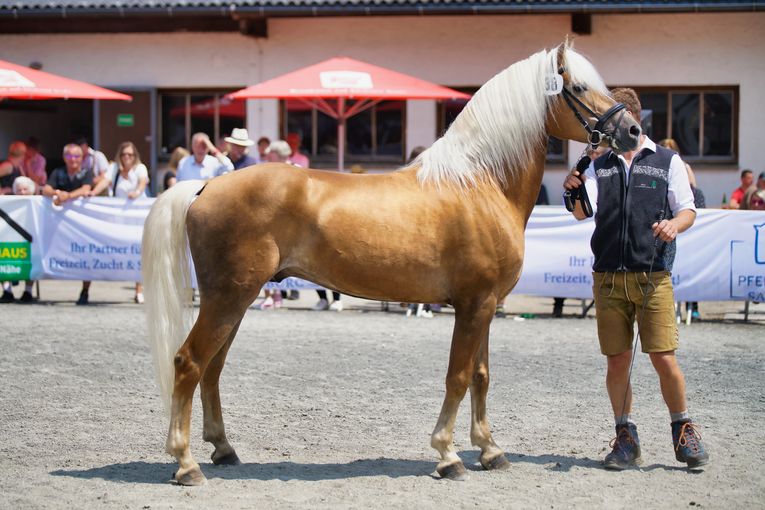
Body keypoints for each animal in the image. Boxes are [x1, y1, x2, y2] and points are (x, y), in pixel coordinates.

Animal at [142, 40, 640, 486]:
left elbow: (480, 376)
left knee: (212, 368)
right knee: (189, 362)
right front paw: (447, 455)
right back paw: (185, 464)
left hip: (235, 300)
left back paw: (223, 449)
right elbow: (458, 377)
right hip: (227, 298)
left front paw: (490, 450)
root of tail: (207, 186)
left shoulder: (484, 306)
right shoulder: (473, 305)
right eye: (579, 86)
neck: (479, 183)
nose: (633, 131)